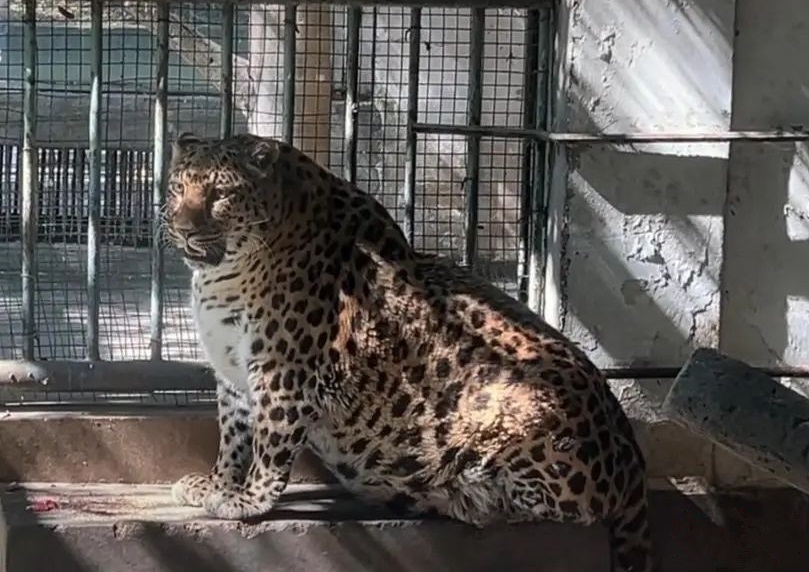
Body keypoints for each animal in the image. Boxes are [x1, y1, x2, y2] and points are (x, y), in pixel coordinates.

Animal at [162, 131, 655, 572]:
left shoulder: (281, 374)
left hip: (515, 400)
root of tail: (634, 464)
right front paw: (216, 483)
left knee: (562, 513)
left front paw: (246, 500)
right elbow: (233, 434)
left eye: (221, 194)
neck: (224, 275)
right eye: (177, 188)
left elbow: (269, 444)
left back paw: (448, 493)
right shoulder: (233, 374)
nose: (182, 230)